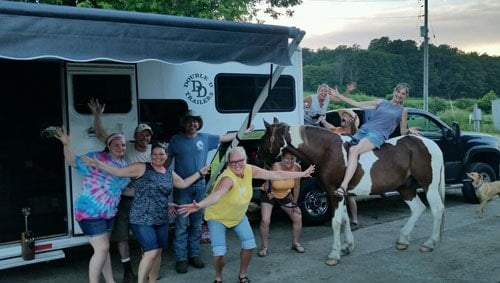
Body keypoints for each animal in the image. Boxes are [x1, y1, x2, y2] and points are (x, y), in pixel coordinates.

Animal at [262, 118, 446, 268]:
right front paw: (346, 246)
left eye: (264, 138)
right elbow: (345, 220)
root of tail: (431, 144)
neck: (328, 151)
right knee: (418, 208)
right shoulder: (342, 195)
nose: (261, 161)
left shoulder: (334, 194)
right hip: (406, 188)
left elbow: (336, 222)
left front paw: (334, 254)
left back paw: (430, 243)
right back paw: (403, 240)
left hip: (429, 186)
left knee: (437, 210)